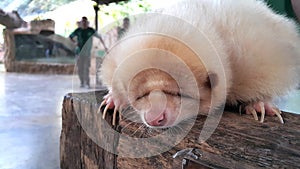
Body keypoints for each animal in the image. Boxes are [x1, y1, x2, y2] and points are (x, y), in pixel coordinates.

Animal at [100, 0, 300, 127]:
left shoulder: (257, 54)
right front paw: (115, 98)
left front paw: (260, 103)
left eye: (180, 94)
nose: (154, 118)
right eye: (139, 96)